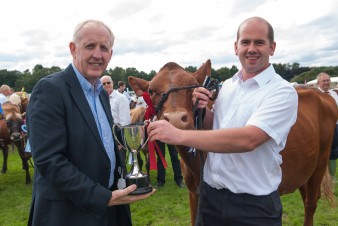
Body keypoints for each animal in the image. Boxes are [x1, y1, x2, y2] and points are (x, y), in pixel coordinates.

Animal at [129, 59, 336, 225]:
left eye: (194, 86)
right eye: (151, 90)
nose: (174, 119)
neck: (195, 166)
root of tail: (320, 93)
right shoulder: (193, 194)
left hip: (321, 160)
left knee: (311, 202)